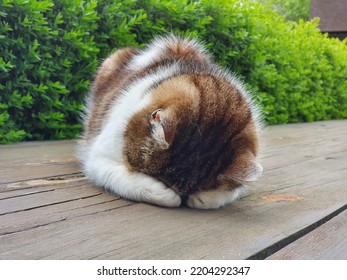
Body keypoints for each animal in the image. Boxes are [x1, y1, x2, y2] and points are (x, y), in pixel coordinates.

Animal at [78, 35, 264, 209]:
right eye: (159, 181)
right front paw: (167, 195)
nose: (183, 199)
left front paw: (201, 197)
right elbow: (123, 179)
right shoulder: (98, 159)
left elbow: (227, 193)